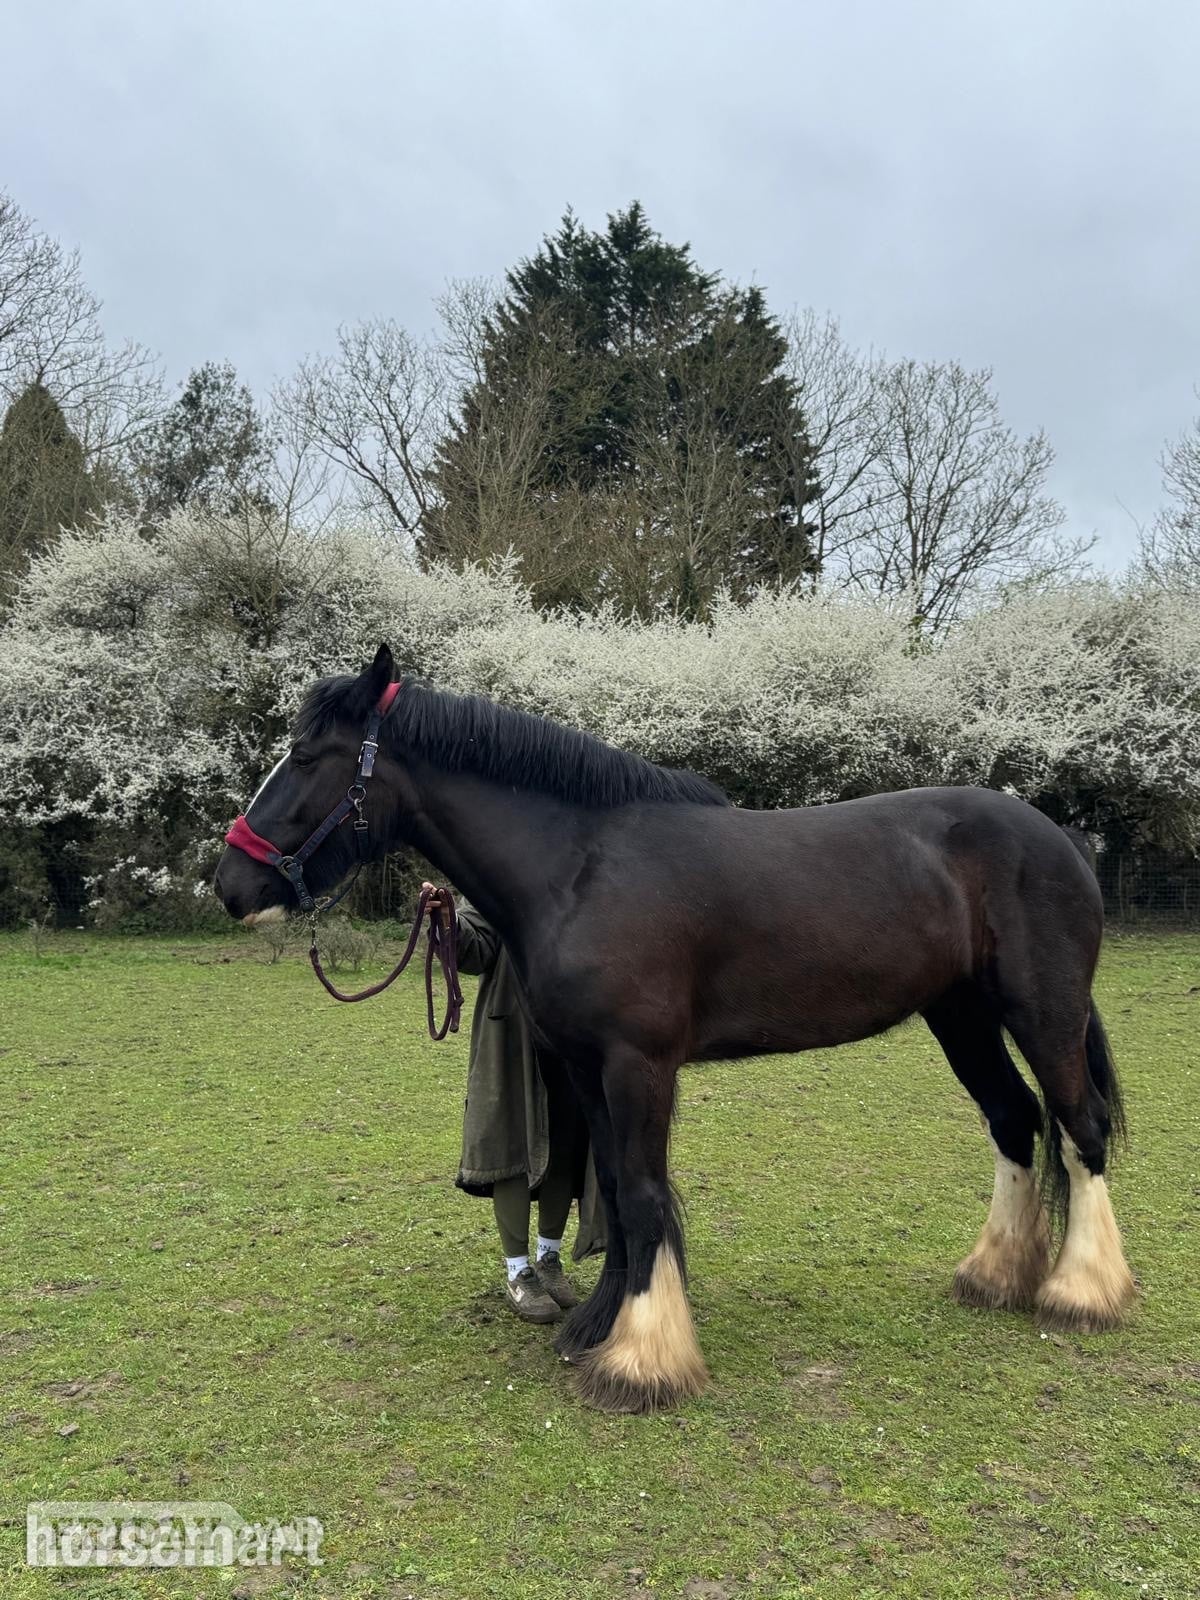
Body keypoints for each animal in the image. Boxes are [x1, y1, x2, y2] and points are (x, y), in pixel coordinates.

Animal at [213, 644, 1135, 1413]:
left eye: (305, 758)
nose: (229, 884)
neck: (580, 868)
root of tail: (1059, 838)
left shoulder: (639, 1065)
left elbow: (645, 1194)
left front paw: (642, 1360)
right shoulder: (586, 1069)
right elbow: (617, 1194)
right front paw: (597, 1326)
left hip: (1041, 1013)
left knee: (1079, 1127)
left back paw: (1082, 1292)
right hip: (961, 1017)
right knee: (1015, 1121)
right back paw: (994, 1276)